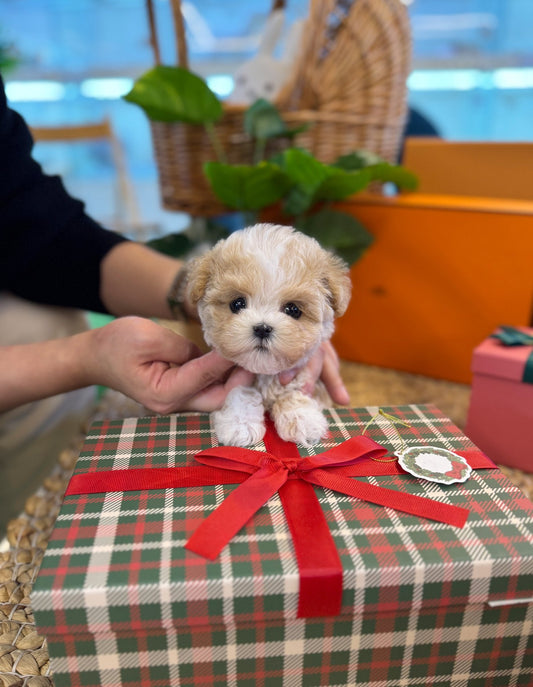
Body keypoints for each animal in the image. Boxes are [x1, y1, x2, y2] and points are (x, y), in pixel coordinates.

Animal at [185, 224, 352, 446]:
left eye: (293, 310)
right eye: (237, 303)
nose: (262, 328)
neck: (264, 373)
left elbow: (293, 391)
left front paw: (301, 418)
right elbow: (239, 391)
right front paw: (240, 424)